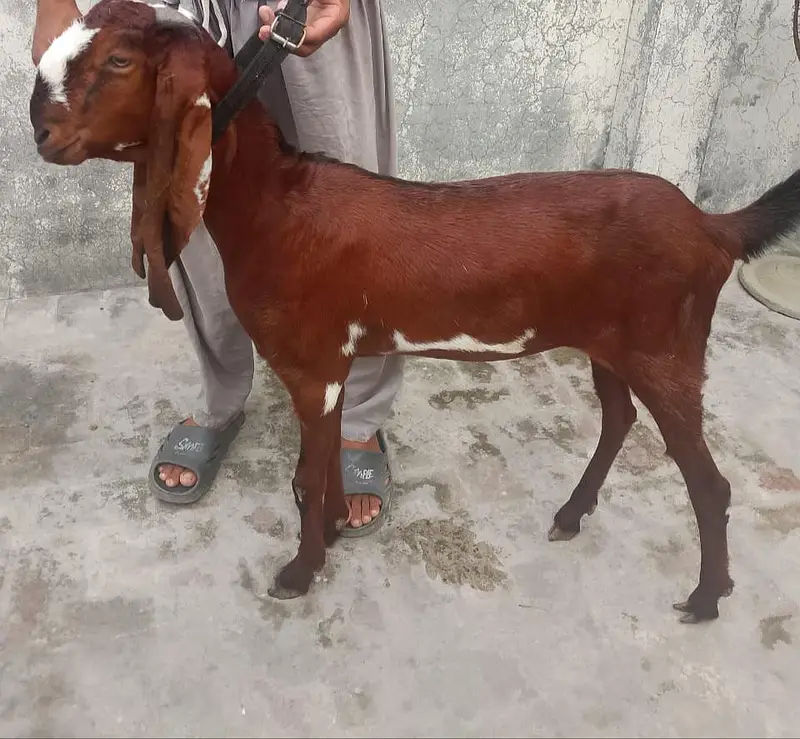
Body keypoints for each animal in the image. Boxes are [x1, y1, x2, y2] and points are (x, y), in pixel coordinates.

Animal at [29, 0, 799, 624]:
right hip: (610, 344)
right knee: (618, 419)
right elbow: (321, 467)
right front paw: (331, 533)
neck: (277, 206)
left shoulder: (312, 364)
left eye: (121, 60)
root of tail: (712, 228)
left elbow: (308, 472)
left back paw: (706, 596)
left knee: (707, 480)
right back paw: (571, 515)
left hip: (667, 350)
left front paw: (300, 571)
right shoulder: (332, 365)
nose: (39, 130)